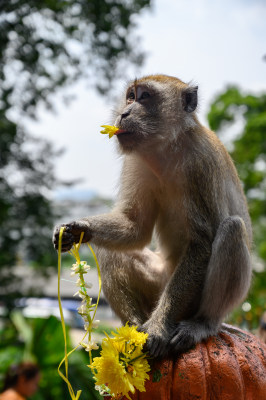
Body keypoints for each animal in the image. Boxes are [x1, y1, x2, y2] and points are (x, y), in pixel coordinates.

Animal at [53, 74, 252, 356]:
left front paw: (158, 328)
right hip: (158, 281)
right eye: (130, 97)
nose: (124, 113)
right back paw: (133, 330)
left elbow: (202, 242)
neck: (166, 148)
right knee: (108, 251)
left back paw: (202, 324)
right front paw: (77, 229)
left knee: (232, 228)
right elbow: (134, 226)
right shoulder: (136, 162)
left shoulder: (200, 163)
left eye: (145, 97)